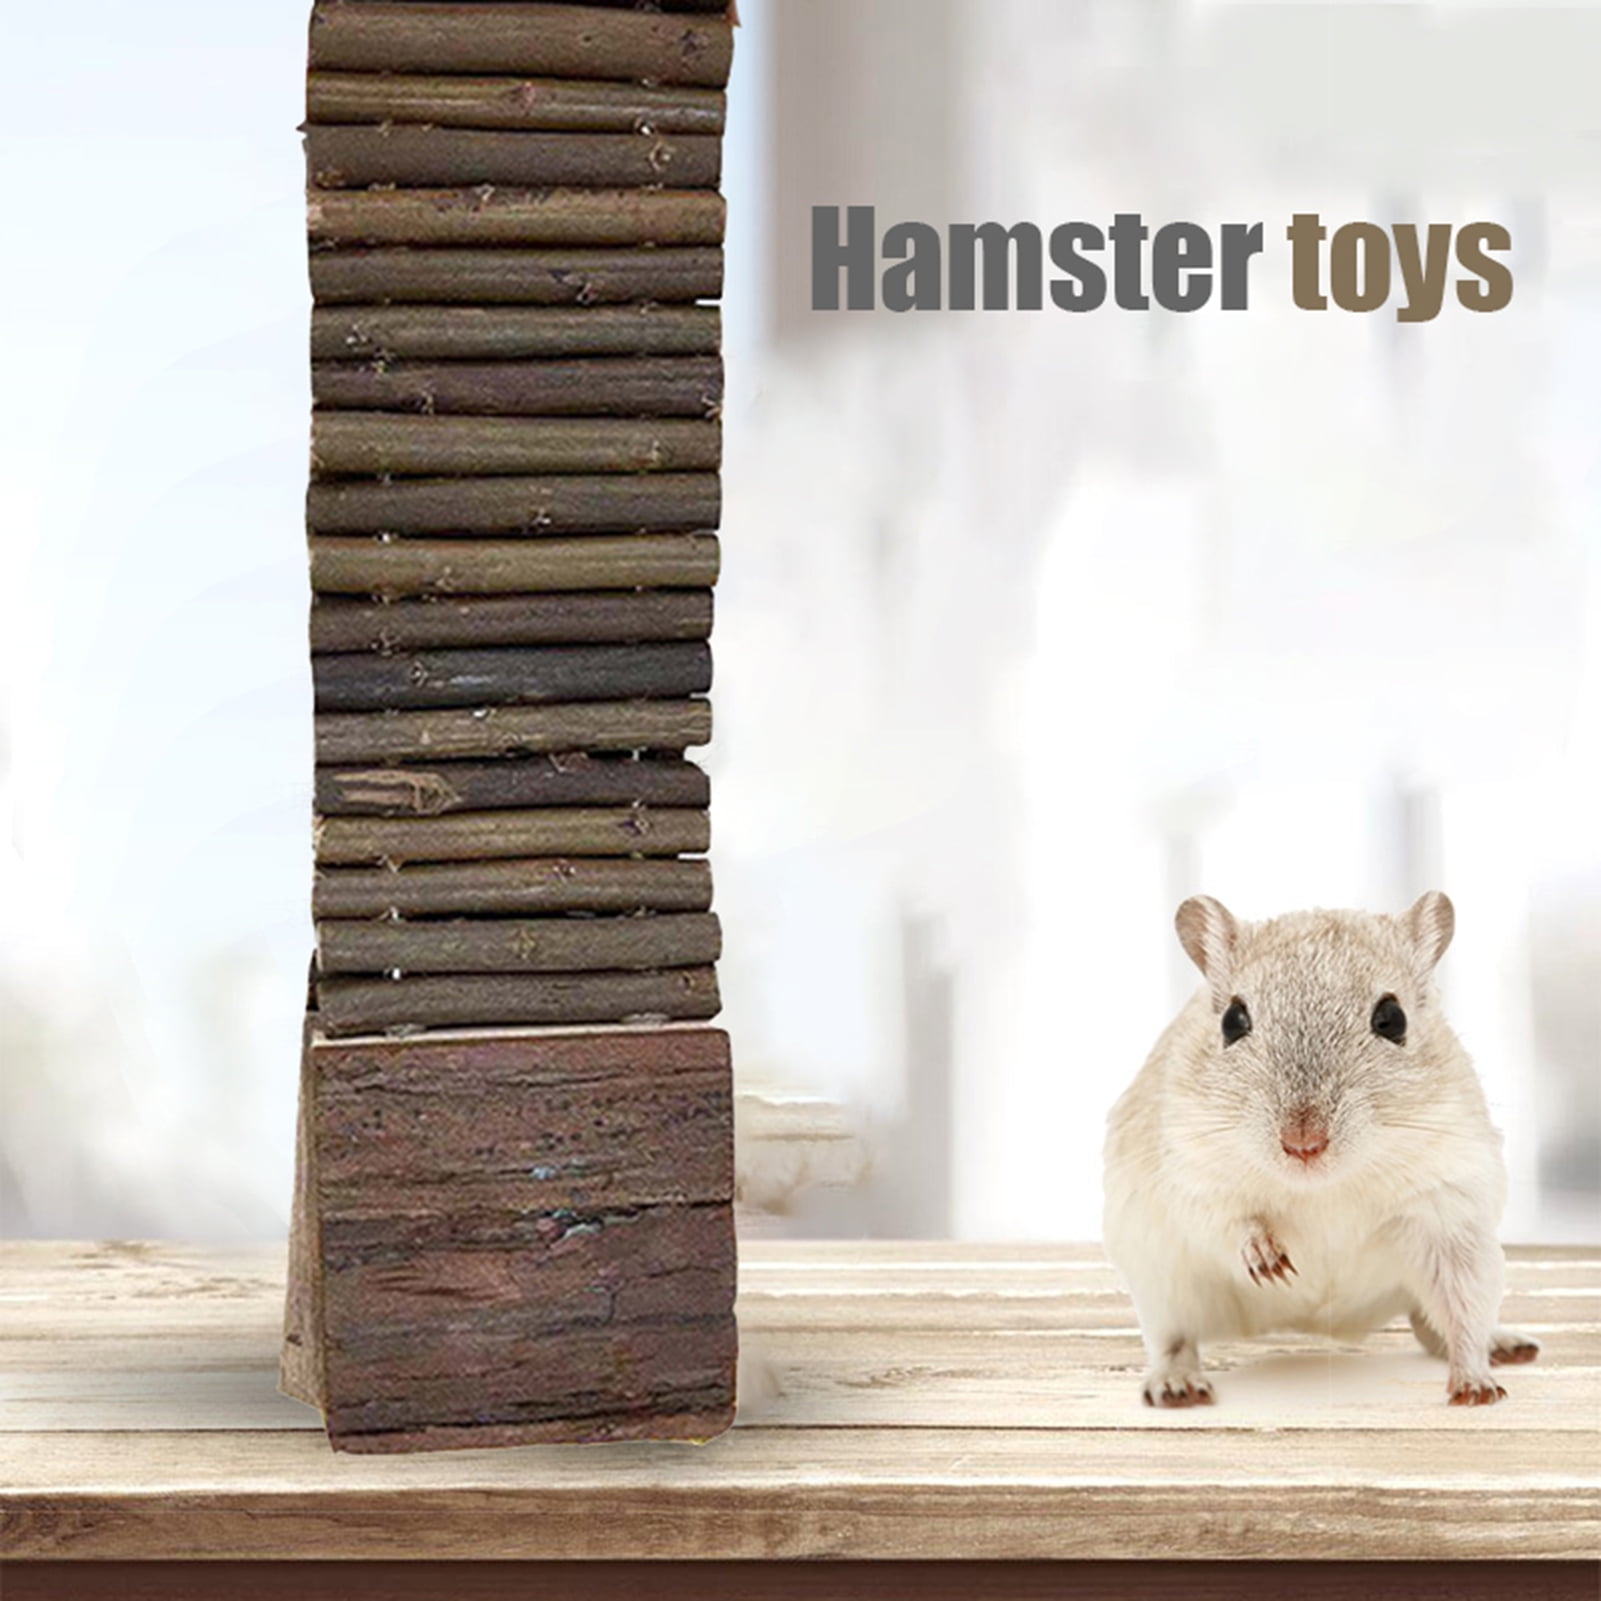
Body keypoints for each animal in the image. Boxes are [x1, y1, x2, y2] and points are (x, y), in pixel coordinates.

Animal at [1102, 892, 1539, 1408]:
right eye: (1233, 1021)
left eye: (1392, 1019)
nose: (1303, 1144)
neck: (1324, 1187)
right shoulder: (1189, 1174)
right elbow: (1229, 1221)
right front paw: (1270, 1262)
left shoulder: (1451, 1209)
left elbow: (1465, 1309)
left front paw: (1476, 1389)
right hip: (1159, 1285)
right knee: (1173, 1341)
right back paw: (1177, 1387)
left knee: (1433, 1324)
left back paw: (1507, 1346)